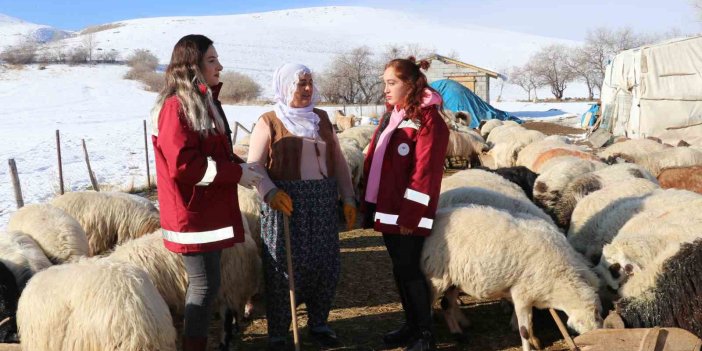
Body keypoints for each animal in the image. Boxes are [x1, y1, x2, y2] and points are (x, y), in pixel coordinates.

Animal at [426, 206, 604, 351]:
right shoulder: (521, 295)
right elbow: (524, 331)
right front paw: (528, 345)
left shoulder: (531, 295)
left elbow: (530, 323)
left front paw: (535, 341)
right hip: (436, 277)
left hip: (453, 279)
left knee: (446, 304)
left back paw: (458, 334)